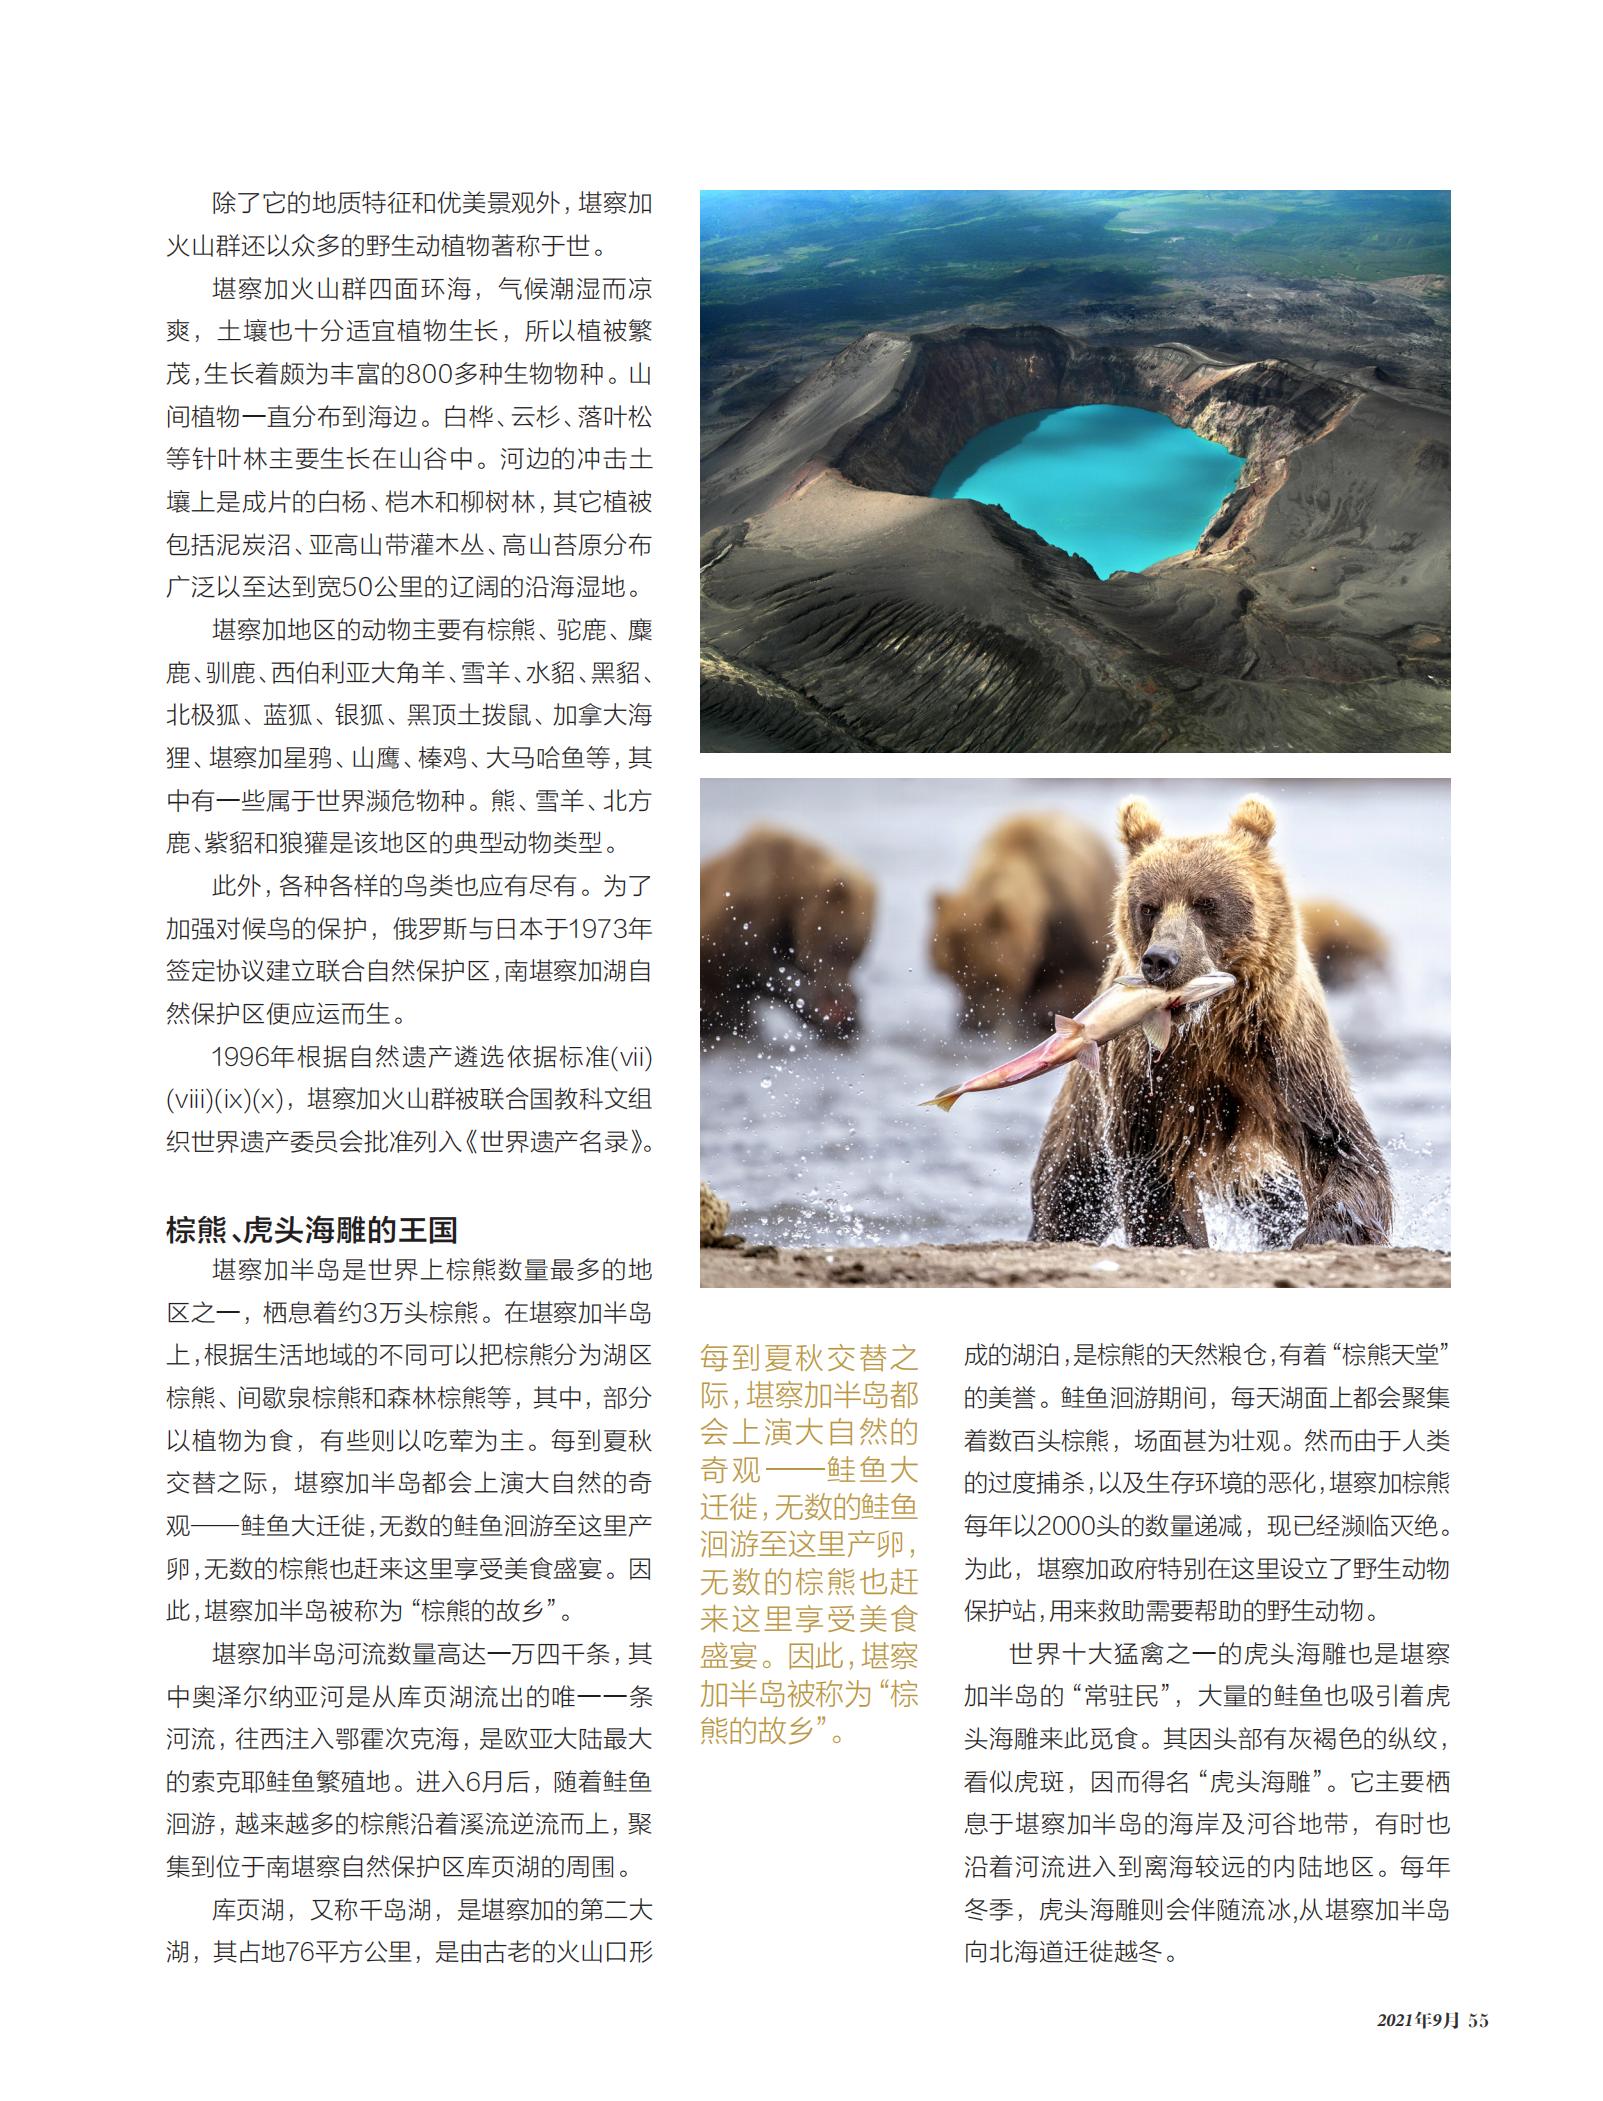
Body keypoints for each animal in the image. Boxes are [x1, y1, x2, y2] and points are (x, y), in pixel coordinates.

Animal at [1029, 796, 1392, 1249]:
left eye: (1206, 902)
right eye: (1149, 906)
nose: (1160, 960)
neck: (1212, 1027)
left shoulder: (1285, 1056)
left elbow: (1341, 1147)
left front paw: (1320, 1233)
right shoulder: (1149, 1078)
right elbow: (1151, 1172)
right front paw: (1179, 1238)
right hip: (1084, 1116)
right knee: (1067, 1195)